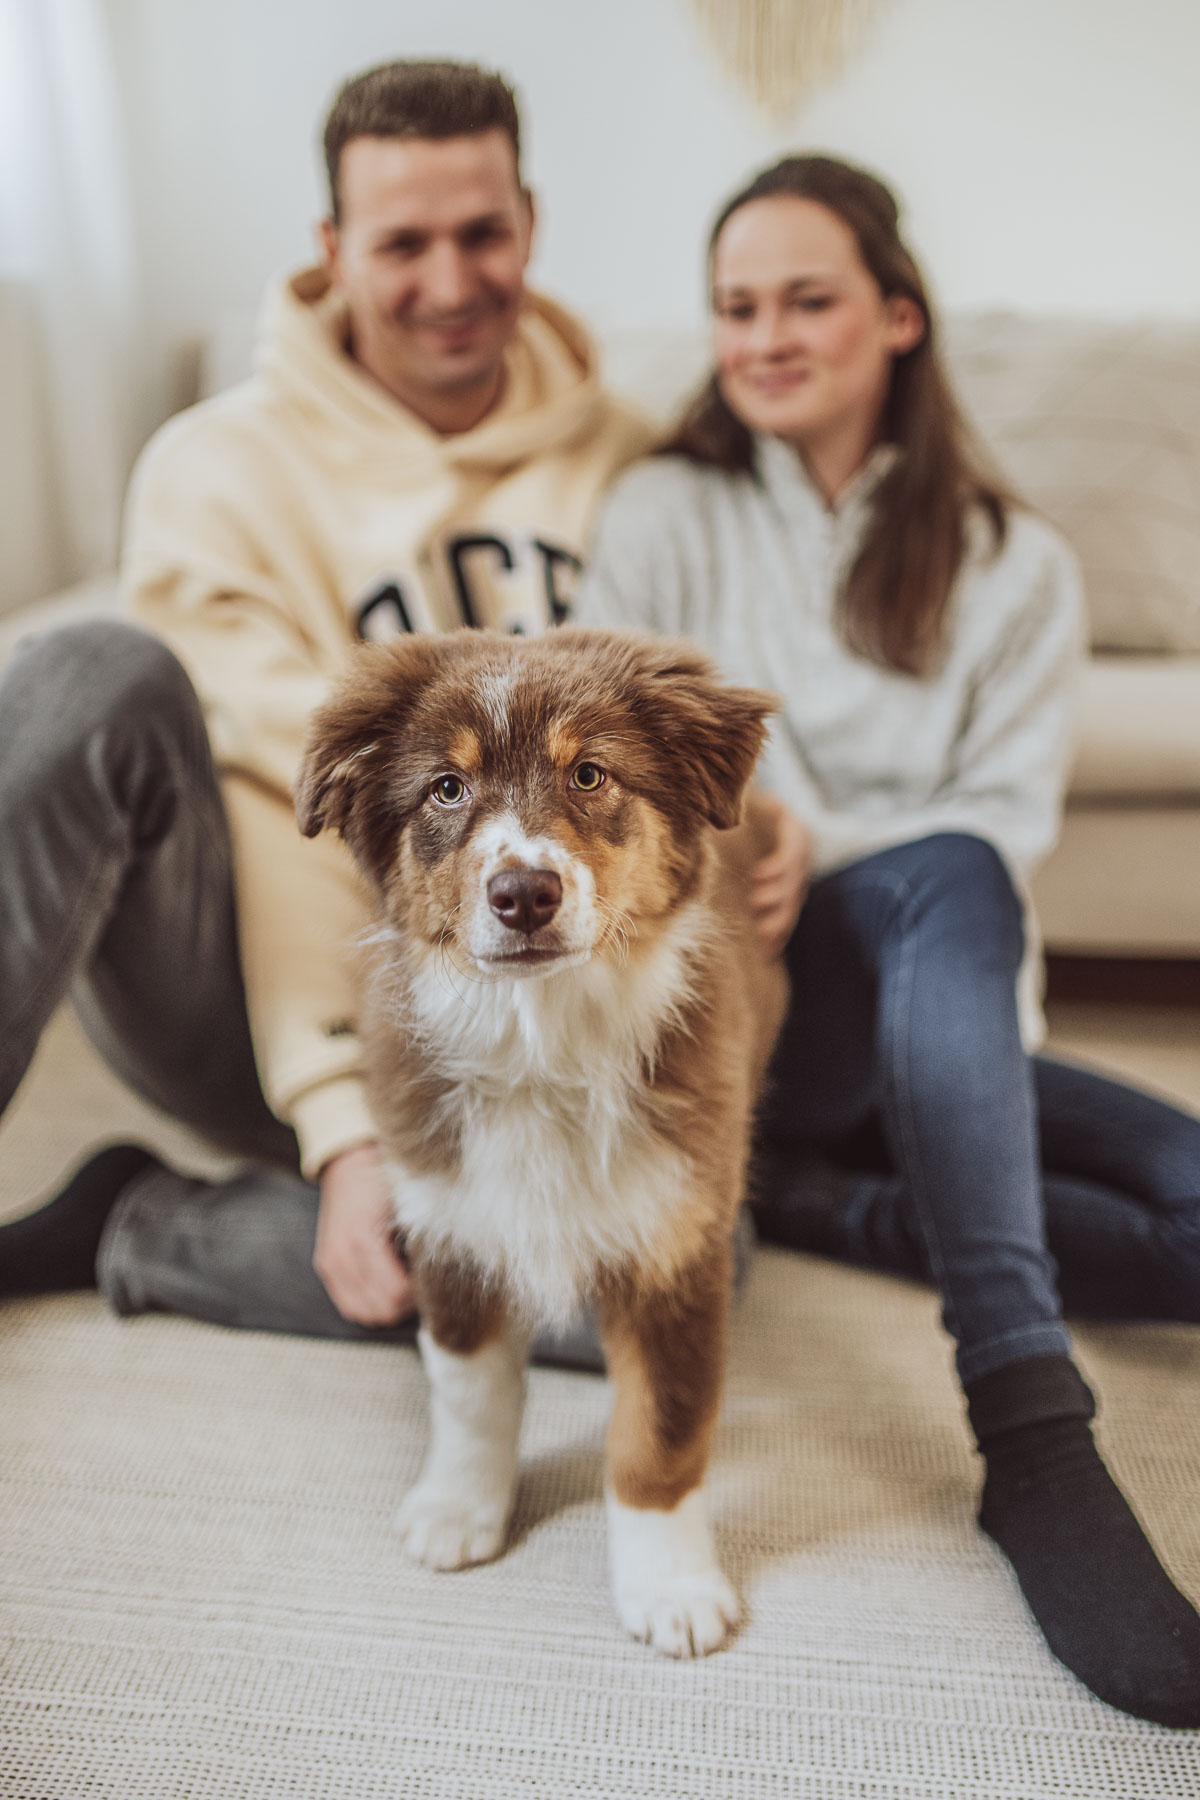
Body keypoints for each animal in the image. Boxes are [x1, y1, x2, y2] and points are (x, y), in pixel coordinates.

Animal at [295, 622, 788, 1656]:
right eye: (447, 788)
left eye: (590, 774)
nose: (524, 893)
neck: (540, 1044)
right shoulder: (452, 1224)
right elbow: (470, 1392)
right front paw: (459, 1510)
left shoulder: (676, 1245)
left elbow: (659, 1432)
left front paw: (670, 1586)